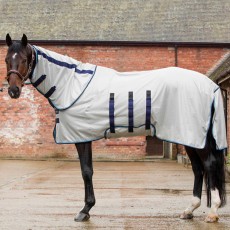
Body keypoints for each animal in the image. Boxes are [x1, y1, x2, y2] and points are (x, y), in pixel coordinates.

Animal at [4, 34, 226, 223]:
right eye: (6, 60)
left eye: (23, 60)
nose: (13, 91)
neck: (71, 85)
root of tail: (210, 86)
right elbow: (88, 170)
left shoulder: (81, 137)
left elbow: (86, 171)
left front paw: (85, 210)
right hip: (189, 136)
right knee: (198, 169)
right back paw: (189, 210)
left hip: (196, 136)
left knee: (209, 165)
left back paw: (213, 211)